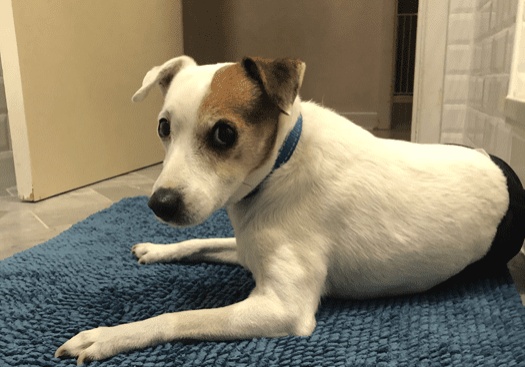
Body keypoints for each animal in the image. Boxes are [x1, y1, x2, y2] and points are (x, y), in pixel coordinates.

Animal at [54, 55, 524, 366]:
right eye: (163, 127)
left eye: (224, 133)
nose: (160, 204)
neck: (279, 166)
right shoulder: (247, 248)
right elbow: (201, 240)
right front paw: (157, 249)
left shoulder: (281, 307)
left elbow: (177, 318)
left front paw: (108, 336)